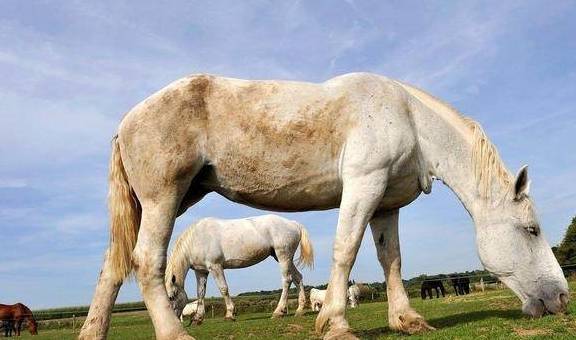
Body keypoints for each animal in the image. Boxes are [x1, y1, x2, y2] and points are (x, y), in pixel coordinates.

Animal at [164, 215, 312, 324]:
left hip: (283, 256)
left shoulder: (215, 266)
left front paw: (230, 314)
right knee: (298, 278)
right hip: (284, 258)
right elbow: (200, 293)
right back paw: (300, 310)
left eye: (171, 297)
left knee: (287, 280)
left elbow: (223, 288)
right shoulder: (201, 271)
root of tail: (293, 224)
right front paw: (197, 318)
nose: (172, 320)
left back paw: (278, 311)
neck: (197, 239)